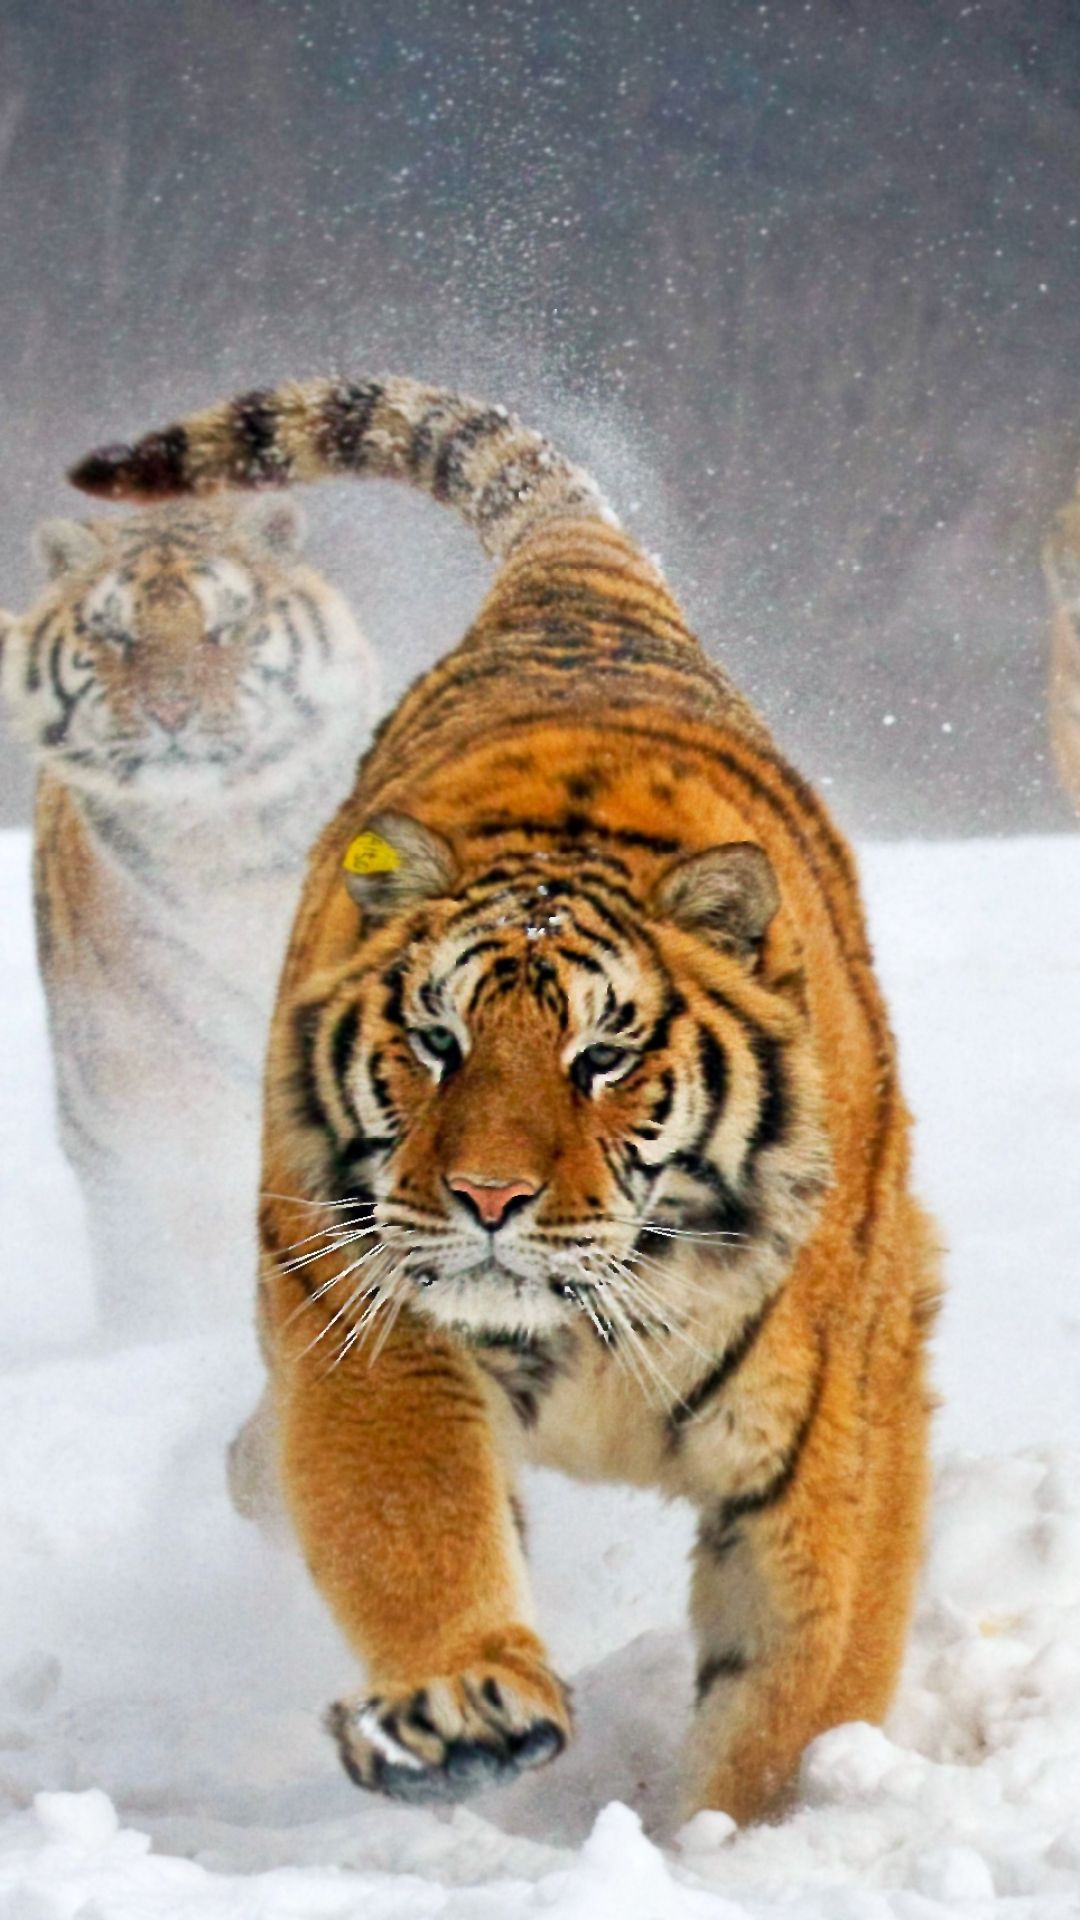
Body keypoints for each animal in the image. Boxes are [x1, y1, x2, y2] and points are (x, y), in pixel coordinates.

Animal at [68, 375, 940, 1824]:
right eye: (437, 1042)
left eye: (602, 1058)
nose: (485, 1197)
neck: (604, 1318)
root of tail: (571, 590)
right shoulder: (374, 1326)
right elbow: (413, 1524)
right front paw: (463, 1708)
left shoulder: (838, 1421)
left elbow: (799, 1681)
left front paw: (748, 1829)